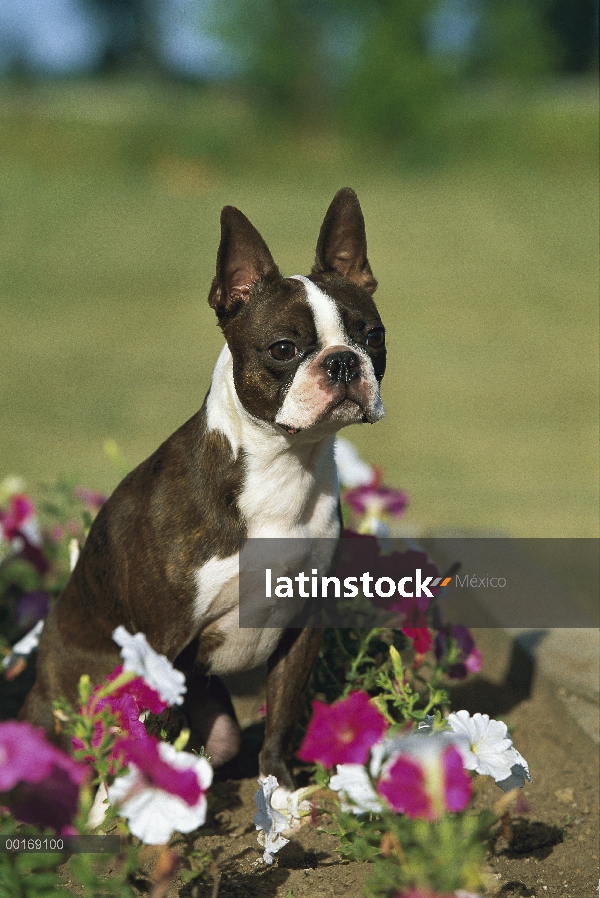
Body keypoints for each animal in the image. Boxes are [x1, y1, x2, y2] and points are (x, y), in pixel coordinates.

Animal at [21, 186, 386, 788]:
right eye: (283, 349)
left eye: (373, 337)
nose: (341, 362)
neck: (284, 466)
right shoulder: (163, 646)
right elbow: (156, 729)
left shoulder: (302, 628)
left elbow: (282, 715)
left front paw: (279, 789)